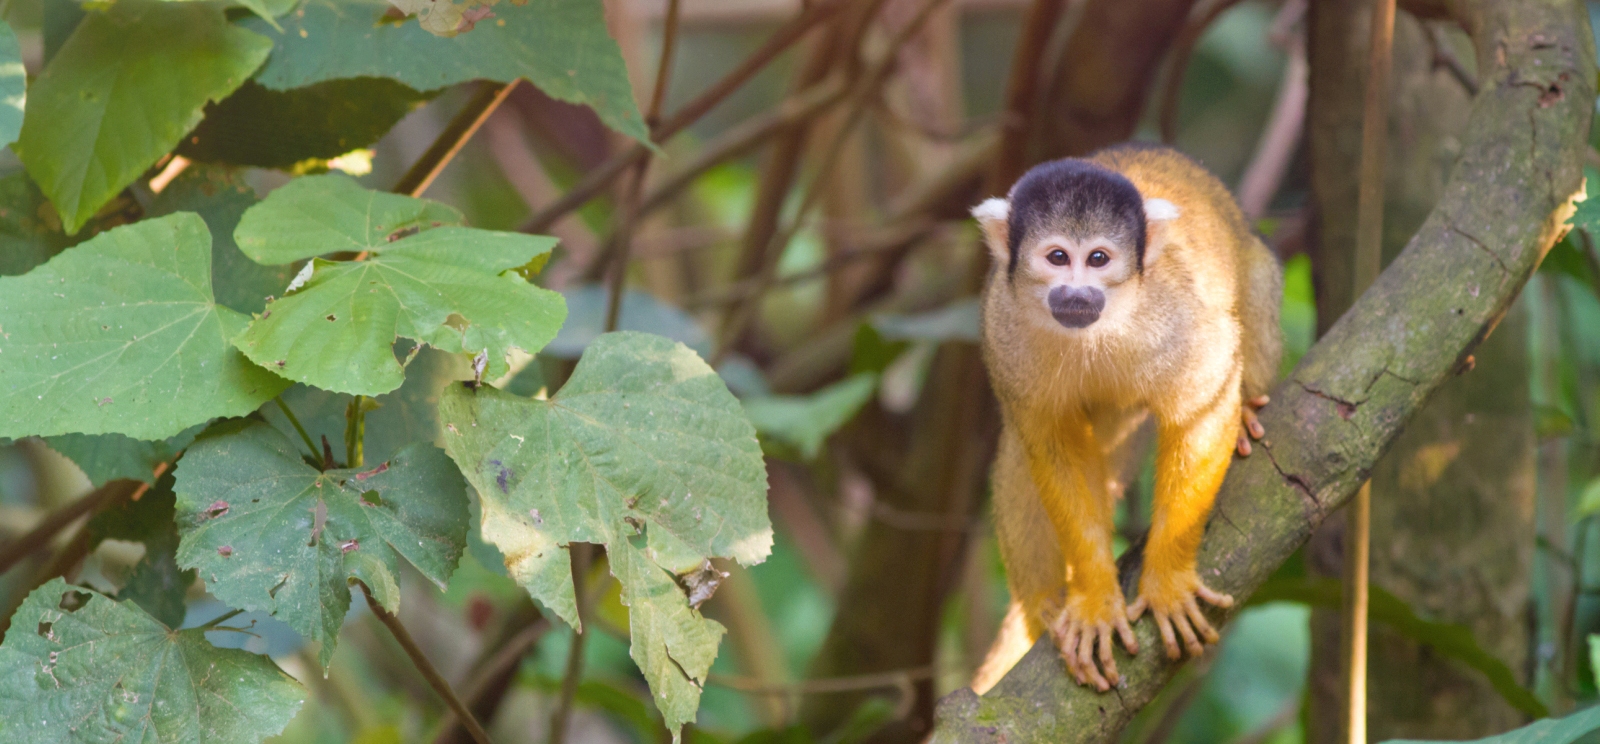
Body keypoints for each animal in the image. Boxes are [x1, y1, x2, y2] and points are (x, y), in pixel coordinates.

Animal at [968, 143, 1283, 693]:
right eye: (1057, 257)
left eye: (1098, 259)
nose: (1077, 294)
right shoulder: (1001, 326)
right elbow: (1052, 443)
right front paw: (1094, 599)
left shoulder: (1178, 318)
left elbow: (1202, 405)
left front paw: (1168, 582)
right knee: (1022, 450)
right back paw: (1042, 606)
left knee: (1252, 293)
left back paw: (1246, 410)